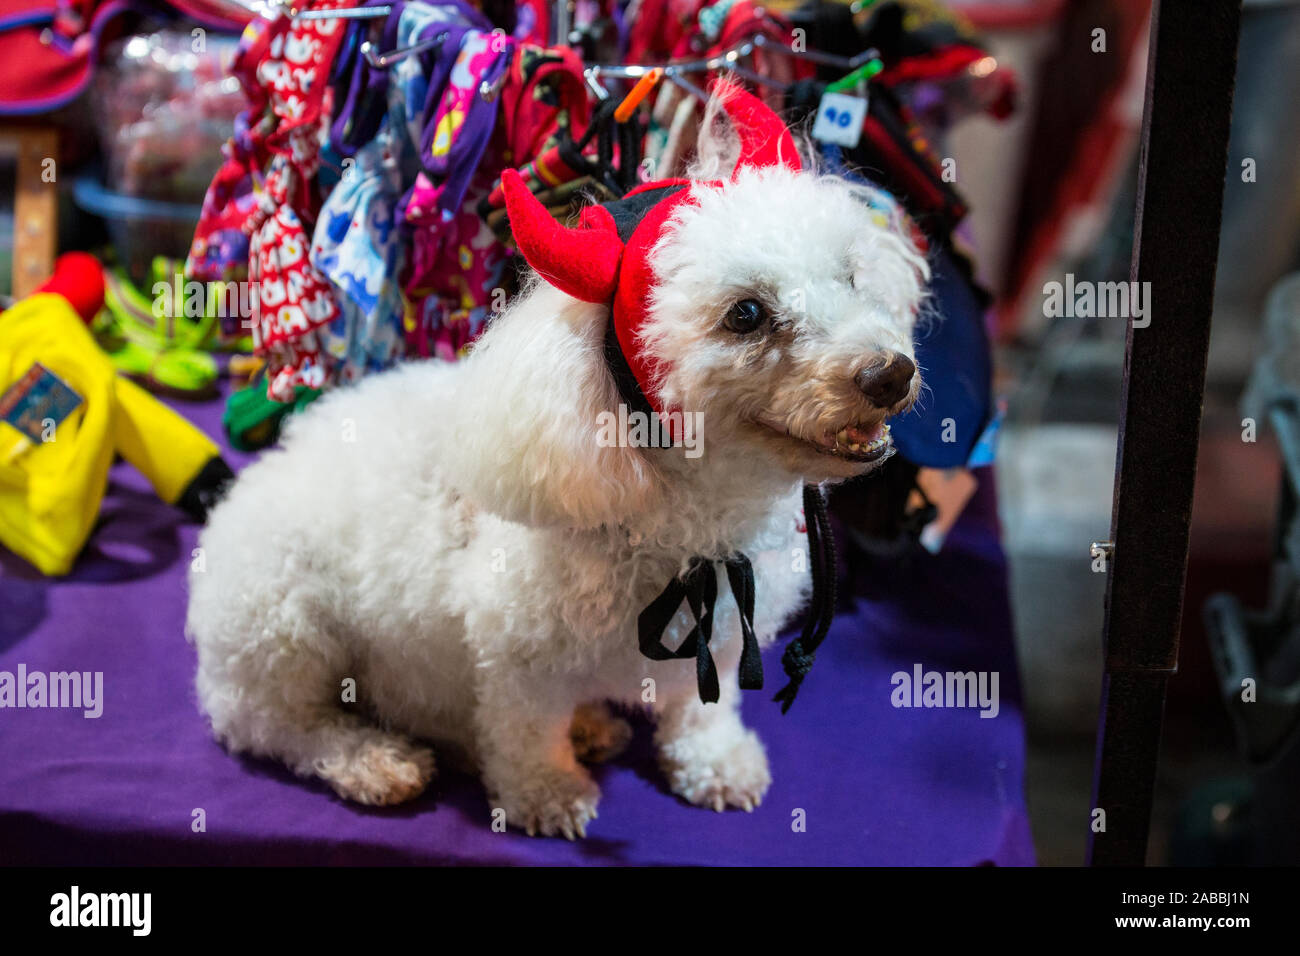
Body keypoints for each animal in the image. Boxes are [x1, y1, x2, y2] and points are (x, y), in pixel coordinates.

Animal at [188, 87, 930, 837]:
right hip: (282, 627)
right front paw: (546, 793)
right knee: (279, 726)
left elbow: (702, 710)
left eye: (850, 276)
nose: (891, 373)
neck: (687, 529)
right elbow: (524, 732)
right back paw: (373, 760)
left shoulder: (720, 639)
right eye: (745, 314)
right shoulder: (515, 656)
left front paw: (715, 762)